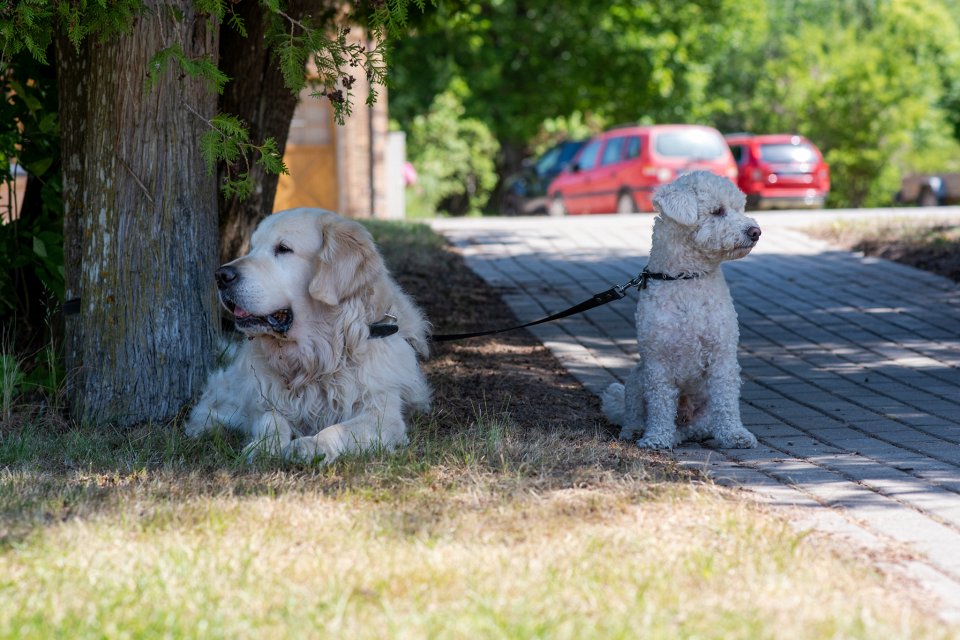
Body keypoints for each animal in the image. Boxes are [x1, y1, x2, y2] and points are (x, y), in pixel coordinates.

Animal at [604, 171, 760, 450]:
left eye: (739, 208)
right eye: (718, 211)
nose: (756, 231)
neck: (687, 278)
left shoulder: (722, 356)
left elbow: (727, 402)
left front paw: (735, 435)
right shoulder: (657, 362)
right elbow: (660, 405)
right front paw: (656, 437)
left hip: (701, 411)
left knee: (696, 428)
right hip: (636, 379)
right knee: (633, 413)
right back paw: (638, 431)